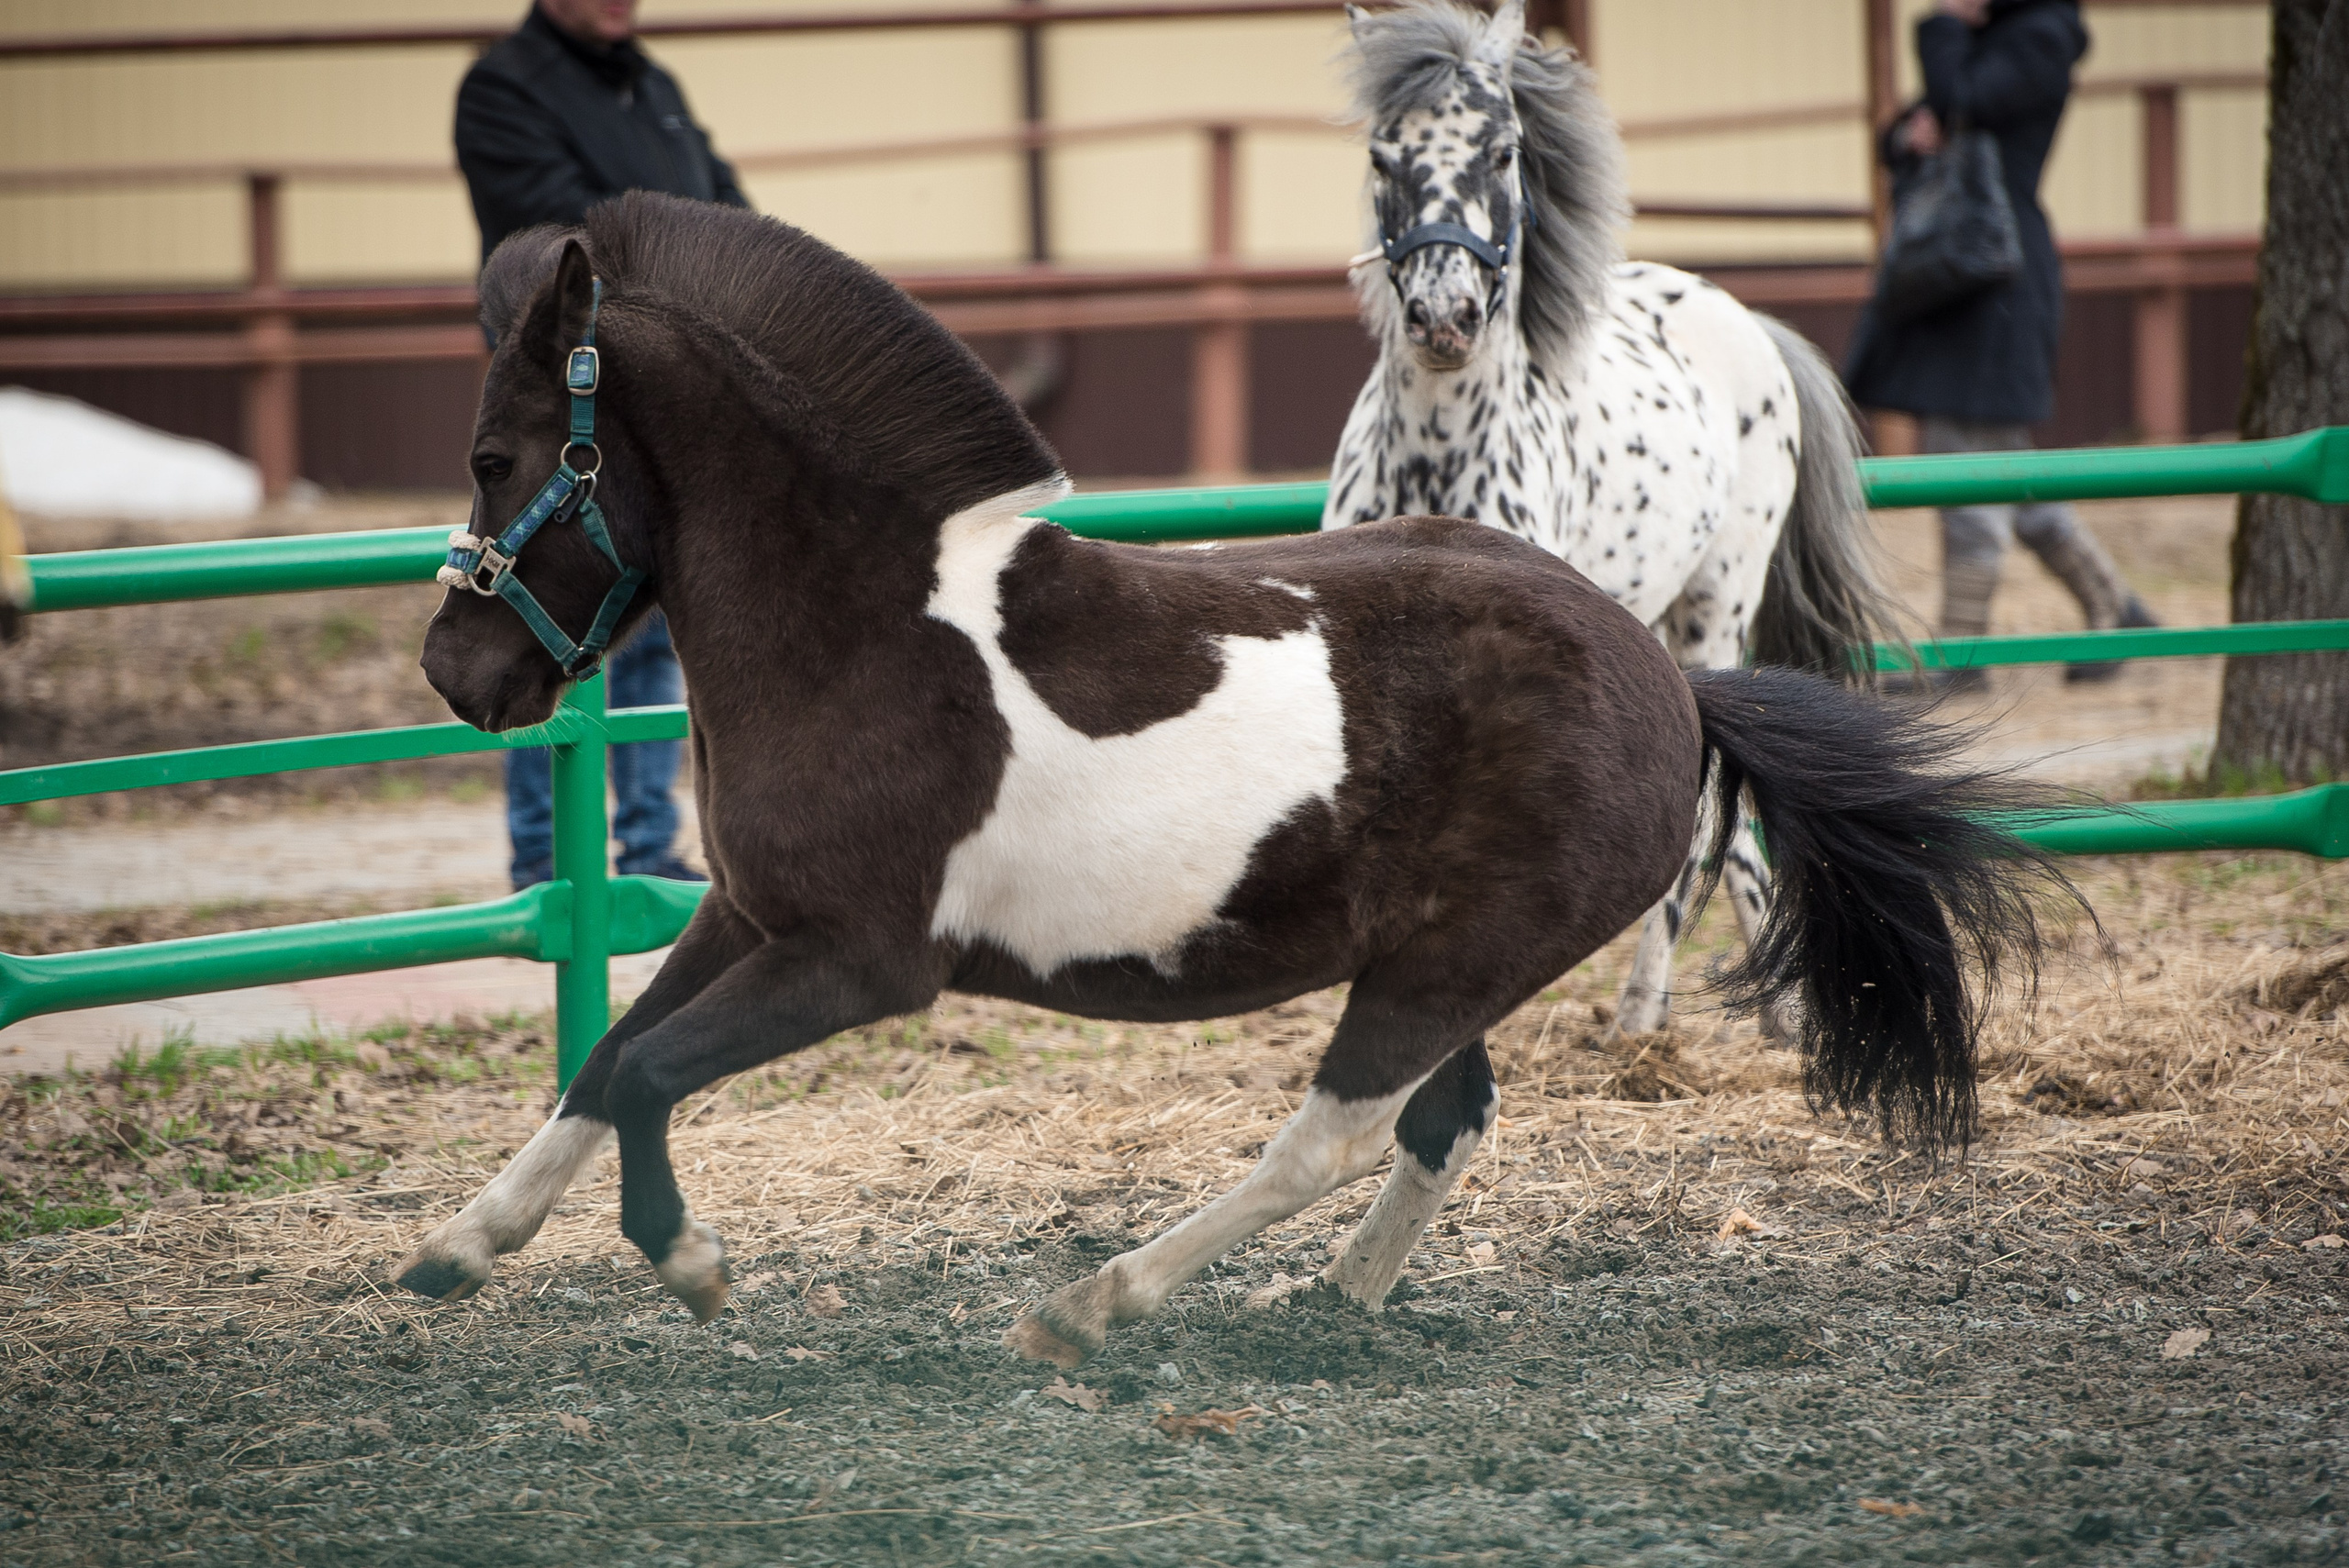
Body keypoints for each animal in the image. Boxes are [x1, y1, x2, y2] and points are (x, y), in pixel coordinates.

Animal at [395, 192, 2058, 1369]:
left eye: (495, 457)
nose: (457, 671)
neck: (863, 622)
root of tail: (1674, 681)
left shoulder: (858, 961)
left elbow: (651, 1074)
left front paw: (693, 1267)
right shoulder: (745, 916)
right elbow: (607, 1060)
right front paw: (454, 1250)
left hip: (1454, 959)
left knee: (1333, 1133)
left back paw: (1092, 1306)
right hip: (1446, 961)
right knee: (1442, 1121)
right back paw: (1326, 1306)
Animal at [1327, 0, 1910, 1045]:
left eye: (1502, 151)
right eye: (1383, 156)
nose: (1444, 317)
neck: (1435, 459)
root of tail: (1746, 321)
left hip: (1713, 613)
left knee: (1707, 819)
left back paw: (1663, 1015)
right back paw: (1749, 1013)